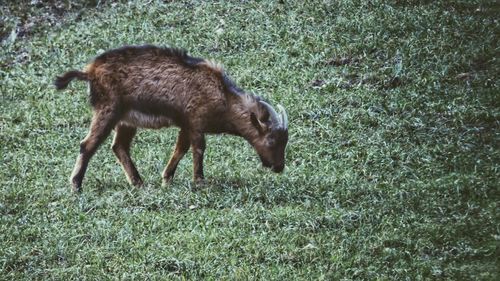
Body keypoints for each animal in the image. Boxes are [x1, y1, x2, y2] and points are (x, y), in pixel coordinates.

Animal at [53, 44, 290, 191]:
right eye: (271, 140)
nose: (279, 167)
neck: (223, 96)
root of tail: (89, 72)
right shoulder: (195, 122)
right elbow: (198, 149)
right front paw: (199, 181)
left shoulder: (186, 125)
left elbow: (181, 149)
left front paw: (166, 179)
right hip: (108, 111)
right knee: (88, 144)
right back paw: (76, 185)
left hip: (126, 120)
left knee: (119, 146)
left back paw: (138, 182)